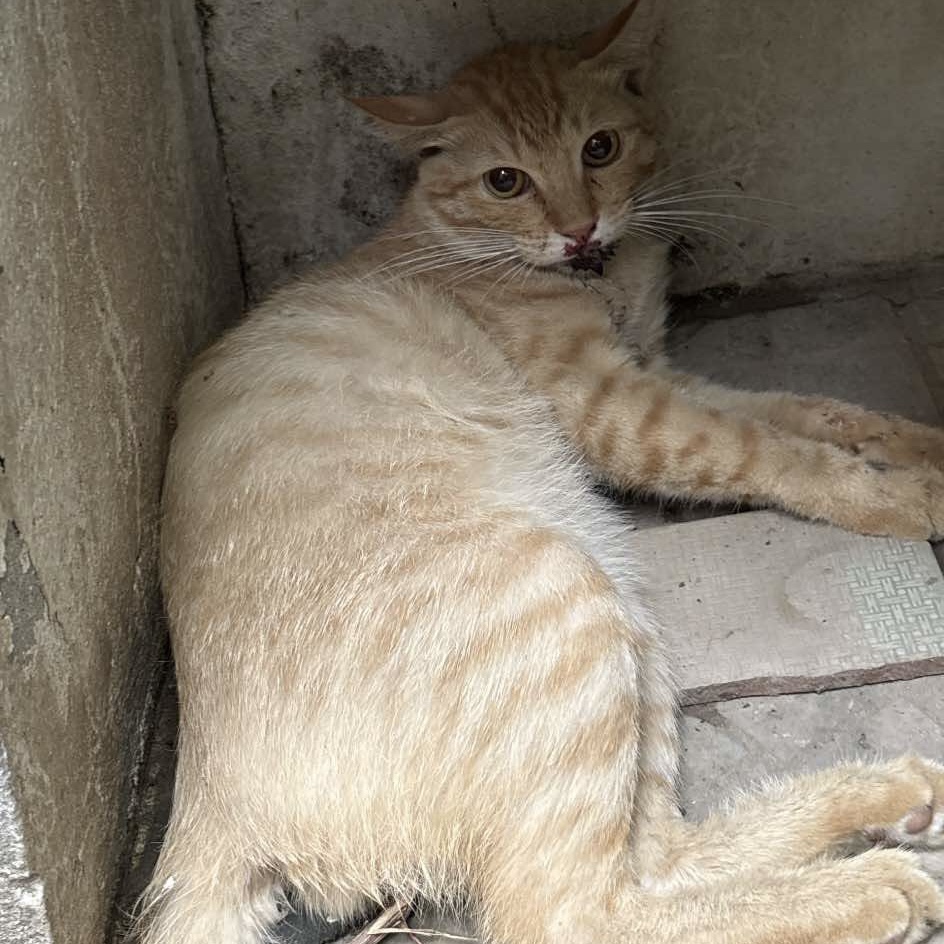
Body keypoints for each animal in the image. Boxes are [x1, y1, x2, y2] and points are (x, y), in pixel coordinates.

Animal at [136, 3, 944, 944]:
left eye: (599, 148)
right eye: (505, 181)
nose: (579, 228)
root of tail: (207, 815)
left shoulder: (664, 376)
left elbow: (815, 411)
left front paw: (921, 447)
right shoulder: (626, 410)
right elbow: (769, 447)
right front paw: (898, 494)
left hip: (629, 636)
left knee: (661, 861)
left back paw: (886, 798)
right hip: (566, 602)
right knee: (575, 911)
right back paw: (872, 889)